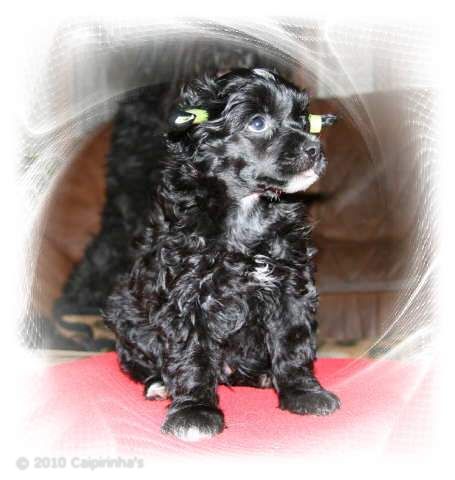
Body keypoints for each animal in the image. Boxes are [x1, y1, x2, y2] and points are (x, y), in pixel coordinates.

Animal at [104, 68, 340, 441]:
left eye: (304, 120)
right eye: (257, 123)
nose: (314, 149)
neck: (248, 209)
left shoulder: (290, 285)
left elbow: (293, 340)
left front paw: (303, 392)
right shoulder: (187, 293)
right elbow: (193, 353)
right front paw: (194, 411)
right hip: (125, 312)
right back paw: (158, 383)